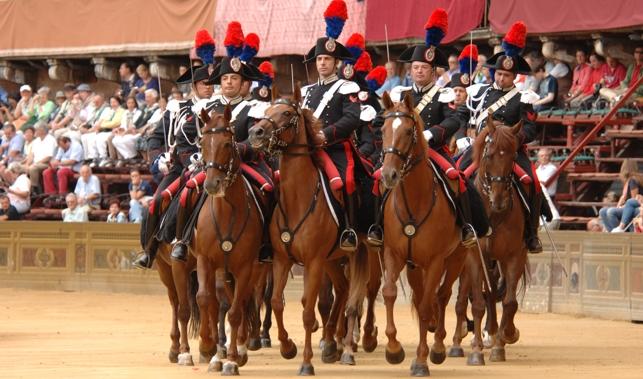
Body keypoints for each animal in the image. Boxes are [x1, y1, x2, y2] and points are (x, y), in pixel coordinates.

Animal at [191, 107, 264, 378]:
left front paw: (232, 360)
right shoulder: (206, 260)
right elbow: (205, 299)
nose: (212, 184)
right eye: (202, 143)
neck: (226, 213)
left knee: (241, 303)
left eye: (226, 143)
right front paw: (209, 347)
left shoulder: (245, 267)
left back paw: (239, 349)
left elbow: (234, 311)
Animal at [247, 87, 370, 376]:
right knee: (343, 289)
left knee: (353, 299)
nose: (256, 132)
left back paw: (346, 348)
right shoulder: (282, 259)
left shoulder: (313, 262)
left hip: (357, 253)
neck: (298, 199)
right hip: (332, 259)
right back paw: (331, 344)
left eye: (287, 113)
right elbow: (277, 302)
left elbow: (307, 311)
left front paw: (305, 362)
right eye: (267, 110)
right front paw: (287, 346)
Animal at [380, 92, 470, 378]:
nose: (388, 174)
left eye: (409, 131)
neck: (415, 202)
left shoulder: (435, 261)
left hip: (456, 258)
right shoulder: (394, 254)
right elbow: (389, 293)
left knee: (441, 296)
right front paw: (394, 349)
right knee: (424, 297)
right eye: (383, 129)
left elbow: (427, 304)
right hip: (414, 266)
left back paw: (439, 346)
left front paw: (421, 360)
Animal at [466, 114, 532, 364]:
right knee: (488, 294)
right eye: (489, 154)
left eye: (513, 157)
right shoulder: (476, 256)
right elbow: (479, 302)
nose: (500, 200)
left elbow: (510, 301)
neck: (492, 214)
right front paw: (478, 348)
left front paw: (506, 337)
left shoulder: (514, 255)